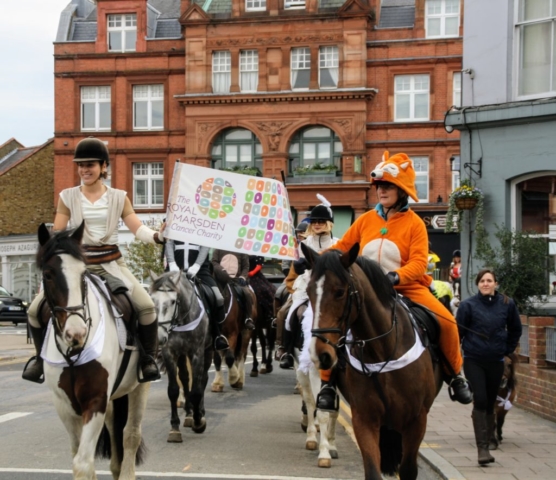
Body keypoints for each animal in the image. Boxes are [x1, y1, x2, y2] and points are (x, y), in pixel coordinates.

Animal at [302, 244, 440, 480]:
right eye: (310, 291)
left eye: (340, 292)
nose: (319, 353)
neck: (383, 352)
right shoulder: (364, 419)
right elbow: (373, 470)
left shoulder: (416, 420)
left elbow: (408, 469)